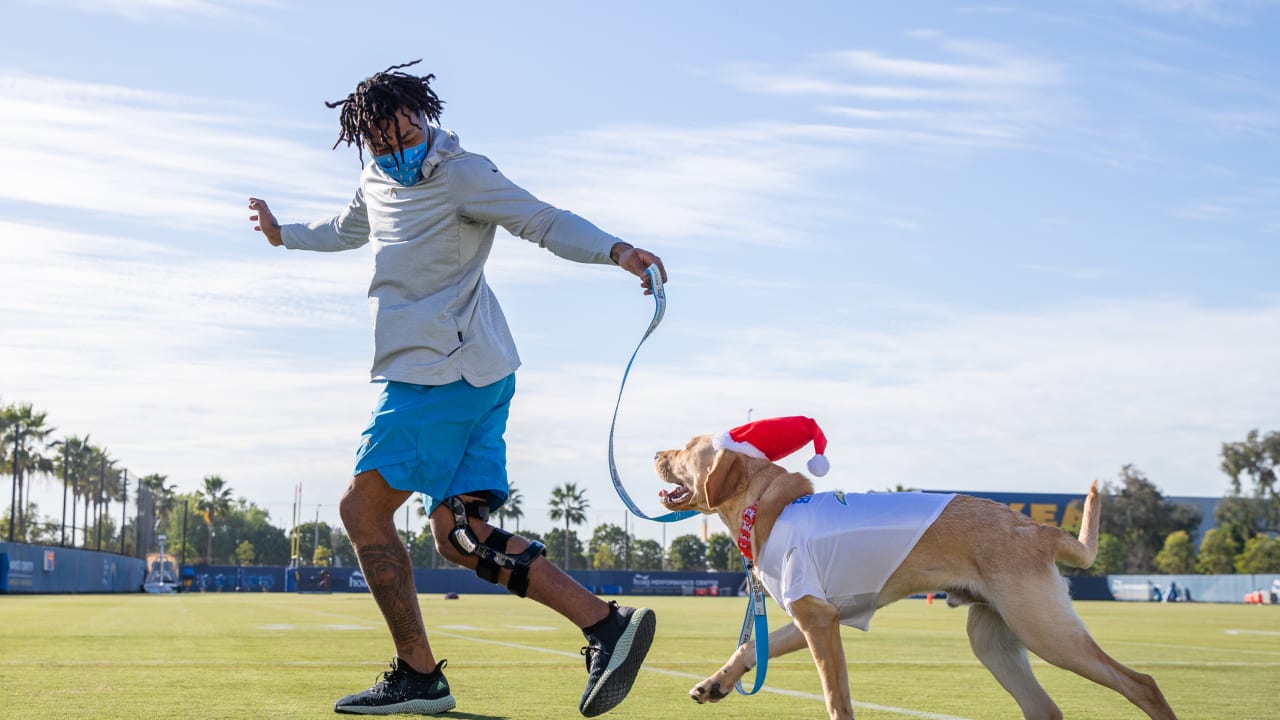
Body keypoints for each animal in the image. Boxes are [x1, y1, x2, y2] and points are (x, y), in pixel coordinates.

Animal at [655, 430, 1172, 717]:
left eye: (688, 447)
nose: (656, 453)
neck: (768, 505)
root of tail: (1036, 528)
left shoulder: (818, 620)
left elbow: (836, 699)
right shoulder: (815, 617)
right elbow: (747, 647)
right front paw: (716, 683)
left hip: (1046, 630)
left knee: (1141, 683)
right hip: (993, 639)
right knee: (1044, 709)